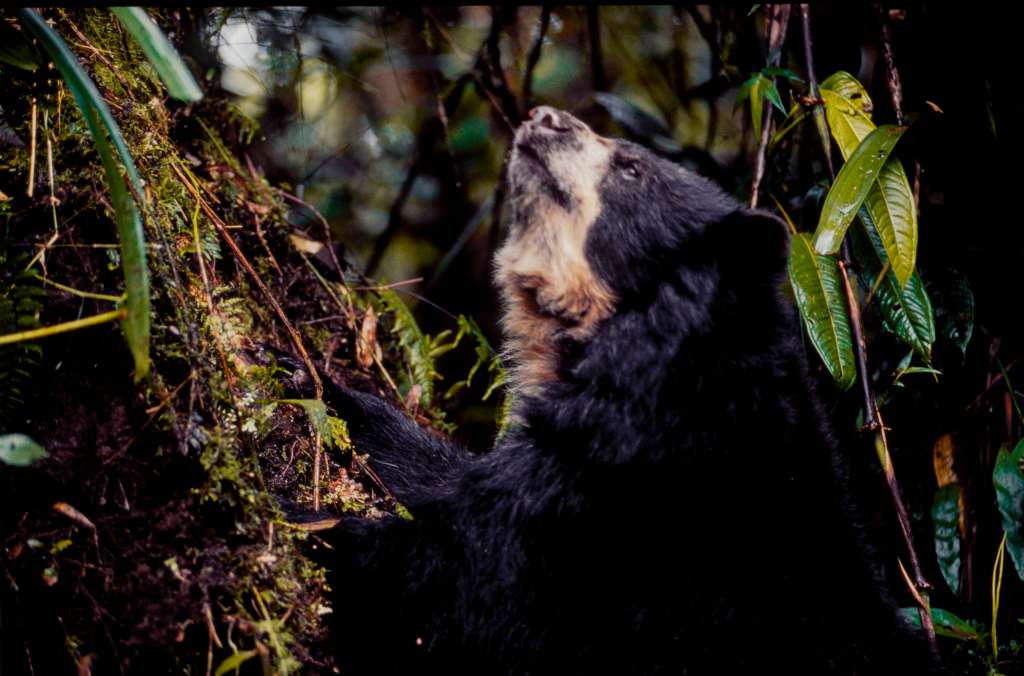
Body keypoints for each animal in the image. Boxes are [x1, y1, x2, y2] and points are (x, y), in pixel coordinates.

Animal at [294, 106, 942, 674]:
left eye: (631, 168)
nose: (544, 116)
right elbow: (448, 479)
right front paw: (312, 378)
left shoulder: (617, 496)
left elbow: (459, 582)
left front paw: (297, 520)